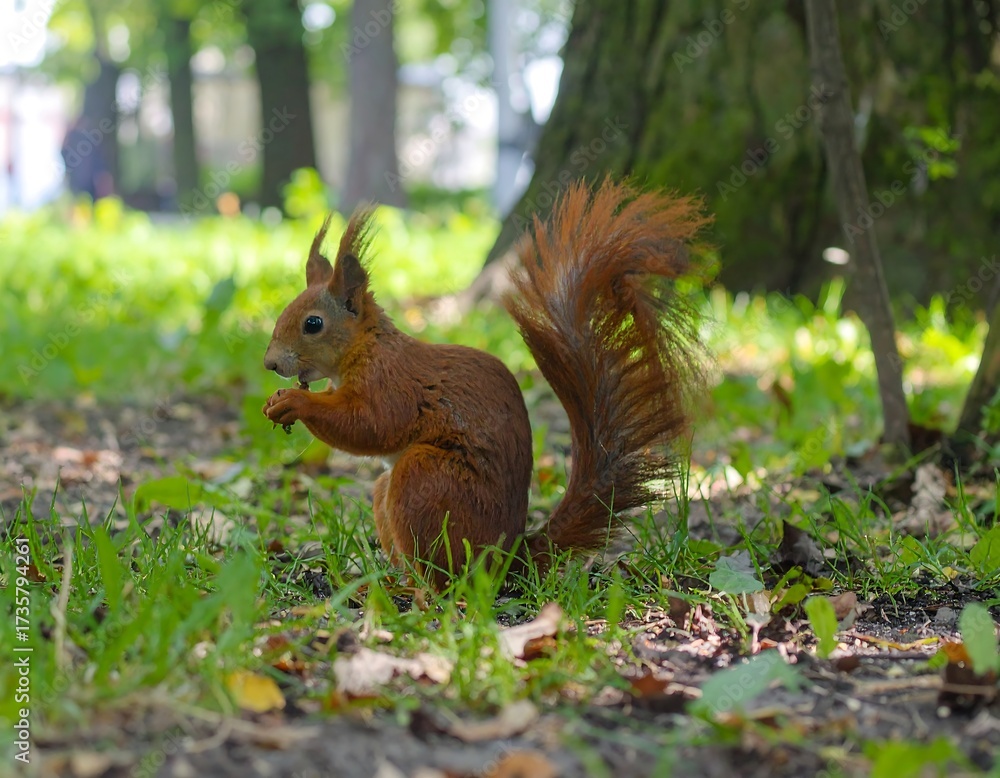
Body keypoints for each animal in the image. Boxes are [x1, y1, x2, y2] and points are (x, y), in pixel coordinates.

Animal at [263, 180, 709, 588]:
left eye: (313, 324)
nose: (270, 364)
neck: (363, 347)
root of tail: (506, 559)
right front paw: (277, 401)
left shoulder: (390, 380)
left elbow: (372, 424)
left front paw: (296, 403)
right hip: (393, 491)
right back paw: (393, 580)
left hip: (426, 480)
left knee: (446, 576)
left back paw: (419, 590)